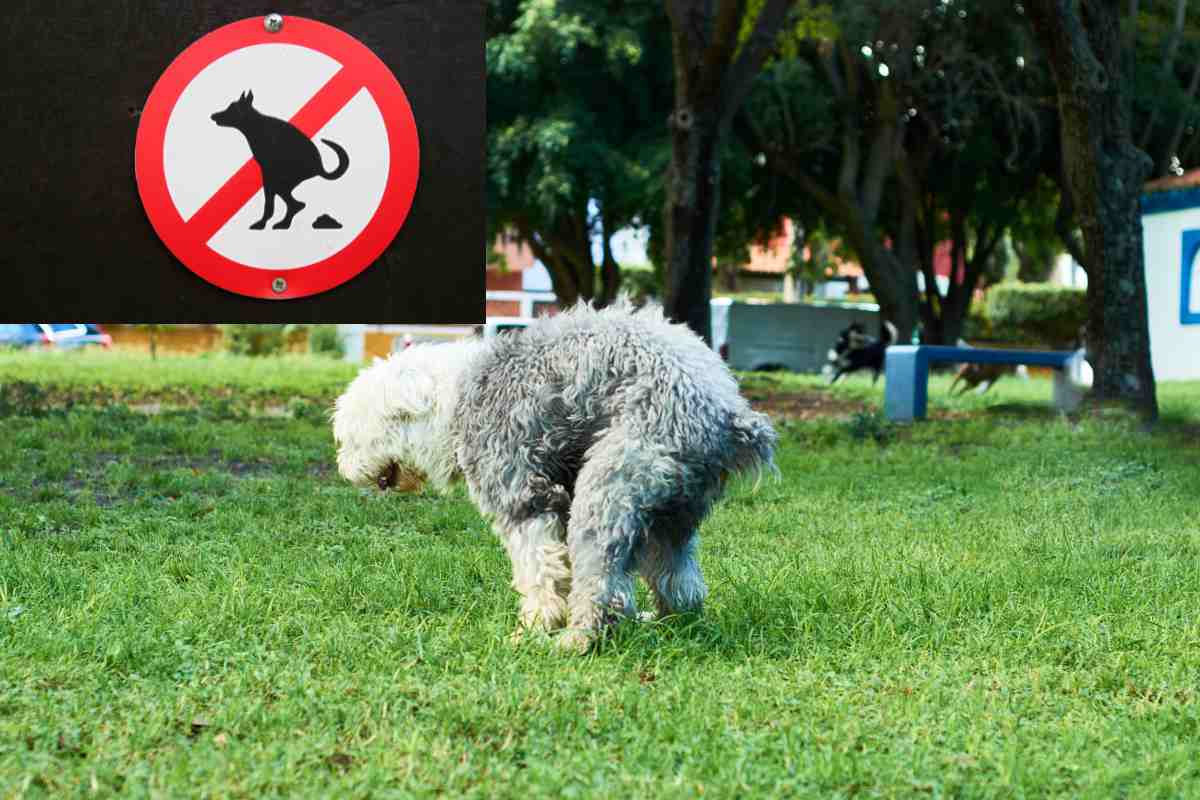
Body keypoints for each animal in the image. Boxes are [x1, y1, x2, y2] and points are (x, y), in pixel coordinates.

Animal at [328, 299, 777, 652]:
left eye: (351, 437)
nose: (344, 471)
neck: (452, 398)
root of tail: (725, 412)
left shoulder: (525, 496)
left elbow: (539, 569)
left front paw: (535, 626)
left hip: (611, 488)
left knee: (604, 588)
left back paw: (576, 639)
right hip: (671, 514)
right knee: (680, 581)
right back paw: (668, 624)